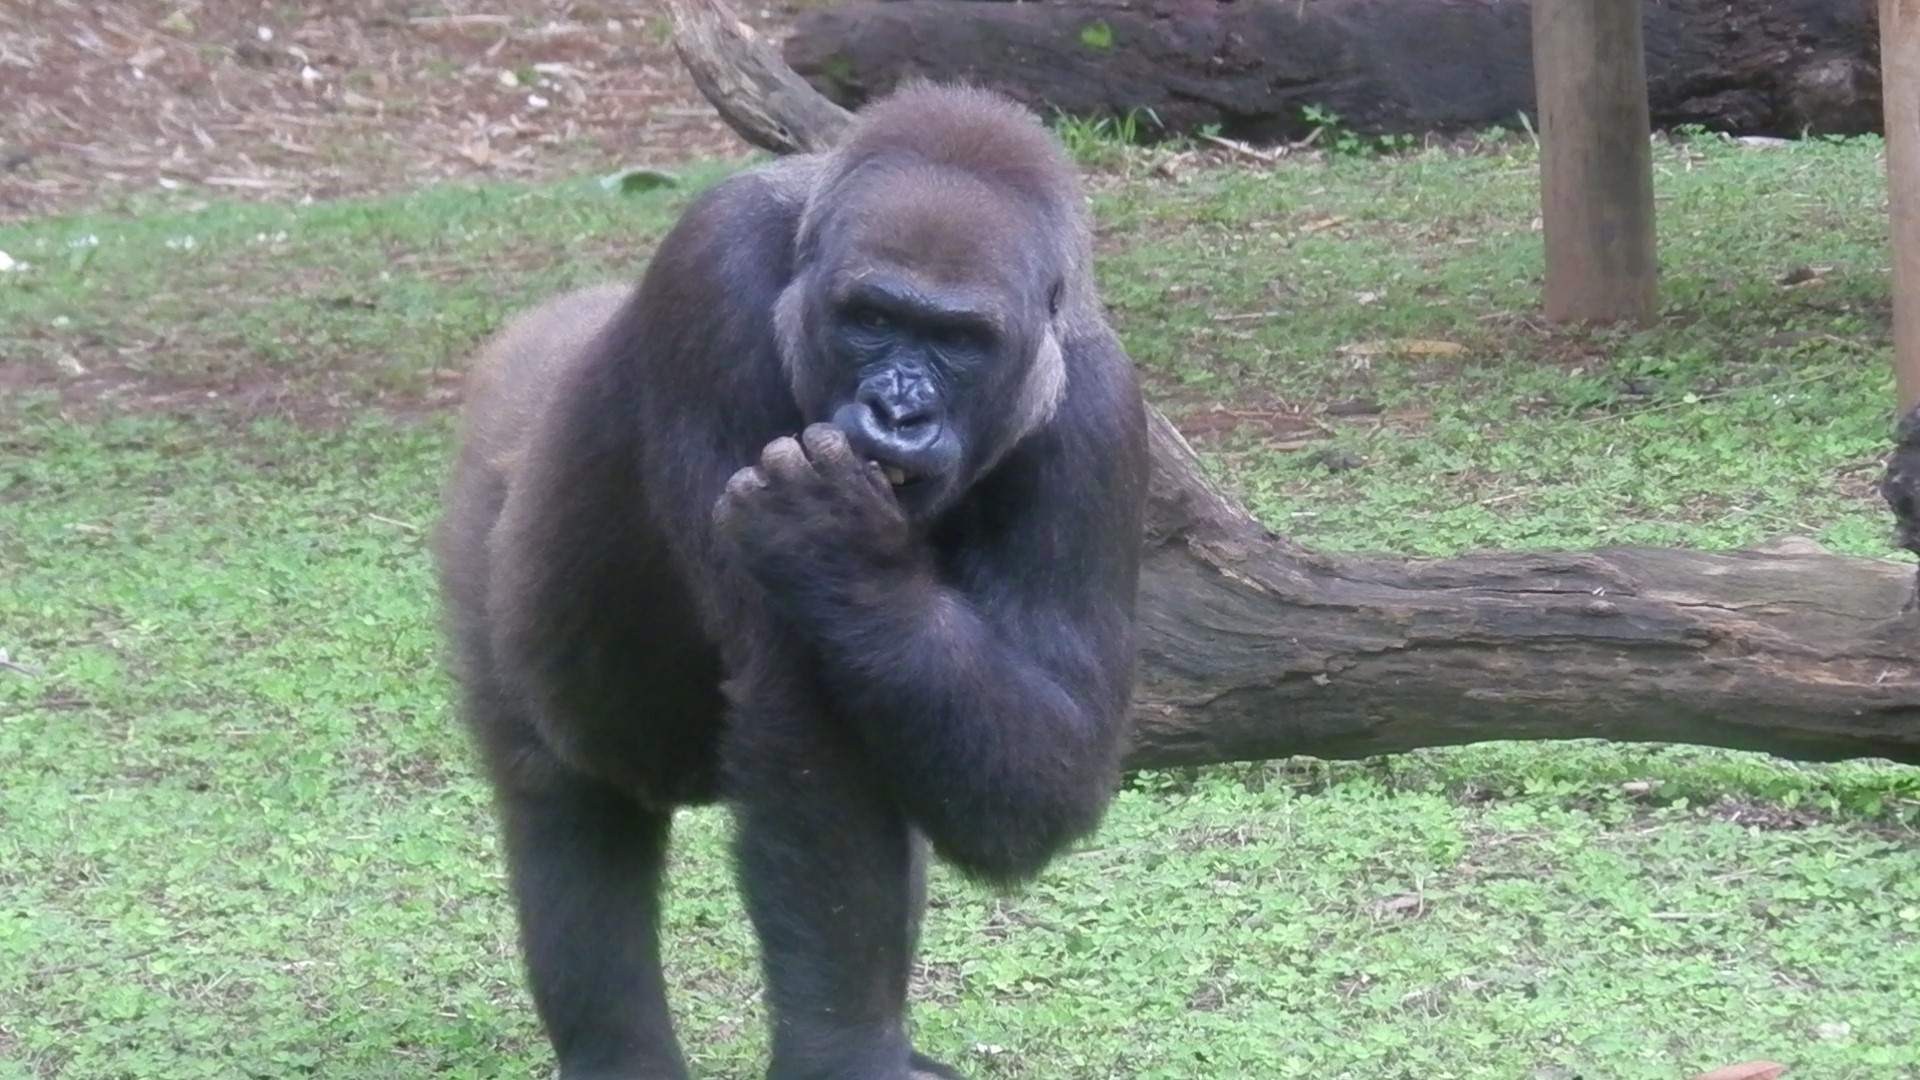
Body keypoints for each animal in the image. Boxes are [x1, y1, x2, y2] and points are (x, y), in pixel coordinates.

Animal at [431, 80, 1150, 1080]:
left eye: (960, 339)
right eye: (872, 318)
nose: (897, 411)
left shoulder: (1101, 412)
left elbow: (1051, 770)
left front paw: (842, 555)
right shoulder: (713, 279)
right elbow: (801, 719)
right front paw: (846, 1053)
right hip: (491, 529)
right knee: (564, 810)